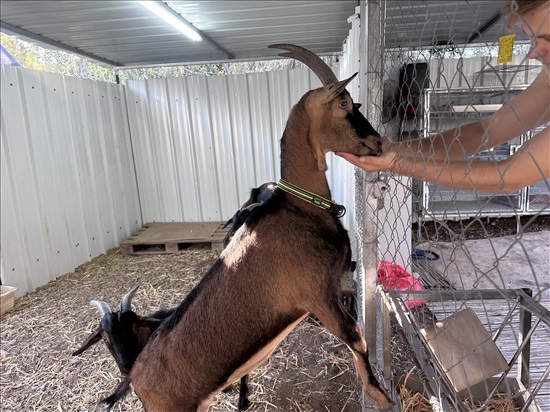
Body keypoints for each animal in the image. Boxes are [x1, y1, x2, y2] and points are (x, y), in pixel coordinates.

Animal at [101, 43, 394, 410]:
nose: (379, 143)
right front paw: (379, 394)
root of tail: (135, 378)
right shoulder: (317, 295)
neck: (299, 206)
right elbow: (357, 339)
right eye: (343, 104)